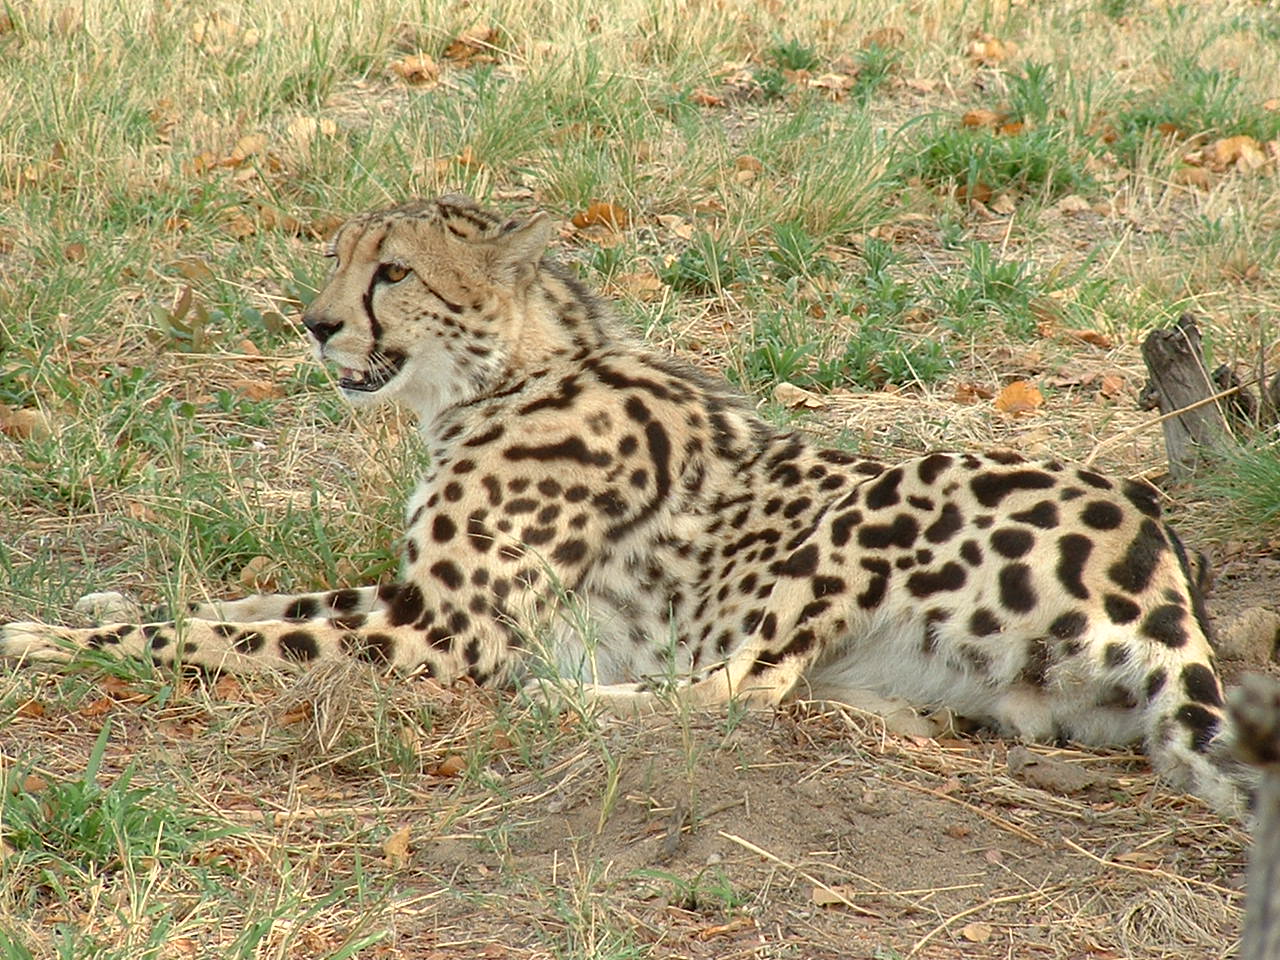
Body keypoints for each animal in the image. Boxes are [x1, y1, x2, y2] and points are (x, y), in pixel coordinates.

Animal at [1, 194, 1252, 816]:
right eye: (341, 257)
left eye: (392, 270)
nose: (314, 327)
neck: (498, 375)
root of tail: (1162, 543)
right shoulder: (411, 600)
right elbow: (257, 602)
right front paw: (85, 606)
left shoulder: (447, 636)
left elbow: (214, 635)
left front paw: (41, 640)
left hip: (884, 495)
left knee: (732, 694)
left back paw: (570, 702)